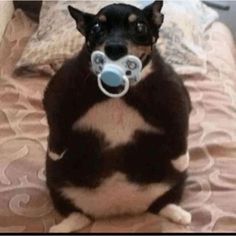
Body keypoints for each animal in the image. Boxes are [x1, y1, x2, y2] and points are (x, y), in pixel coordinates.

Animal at [43, 0, 192, 232]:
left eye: (139, 26)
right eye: (97, 27)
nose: (115, 47)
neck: (118, 90)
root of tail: (119, 207)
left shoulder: (173, 90)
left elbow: (179, 123)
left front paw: (182, 158)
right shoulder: (61, 86)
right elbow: (56, 115)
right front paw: (55, 151)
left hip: (176, 181)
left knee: (163, 202)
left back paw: (179, 214)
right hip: (55, 182)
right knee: (79, 214)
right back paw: (62, 227)